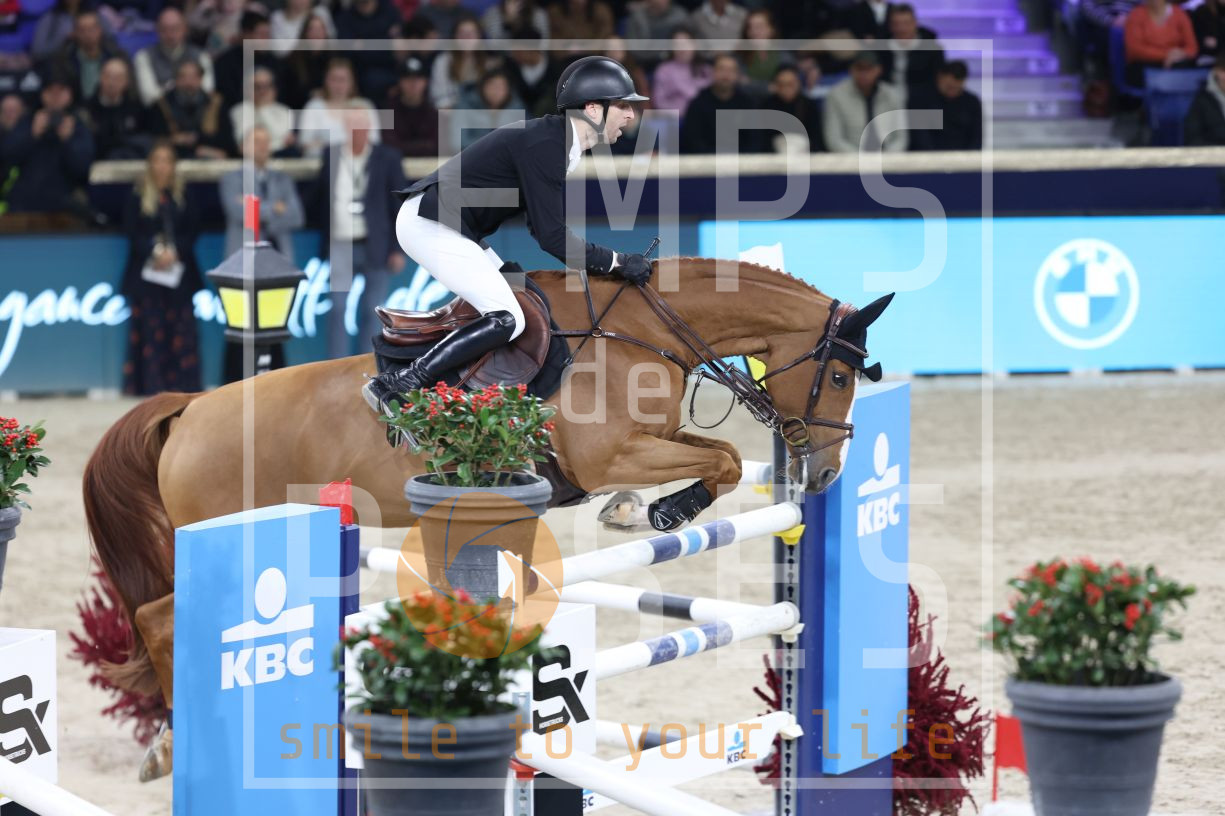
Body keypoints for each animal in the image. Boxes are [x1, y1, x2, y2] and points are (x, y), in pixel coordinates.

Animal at [81, 257, 891, 779]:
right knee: (158, 619)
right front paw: (661, 507)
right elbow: (719, 459)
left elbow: (716, 453)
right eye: (838, 375)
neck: (643, 331)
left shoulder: (644, 442)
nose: (825, 474)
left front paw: (643, 509)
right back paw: (171, 744)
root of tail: (187, 410)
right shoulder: (607, 454)